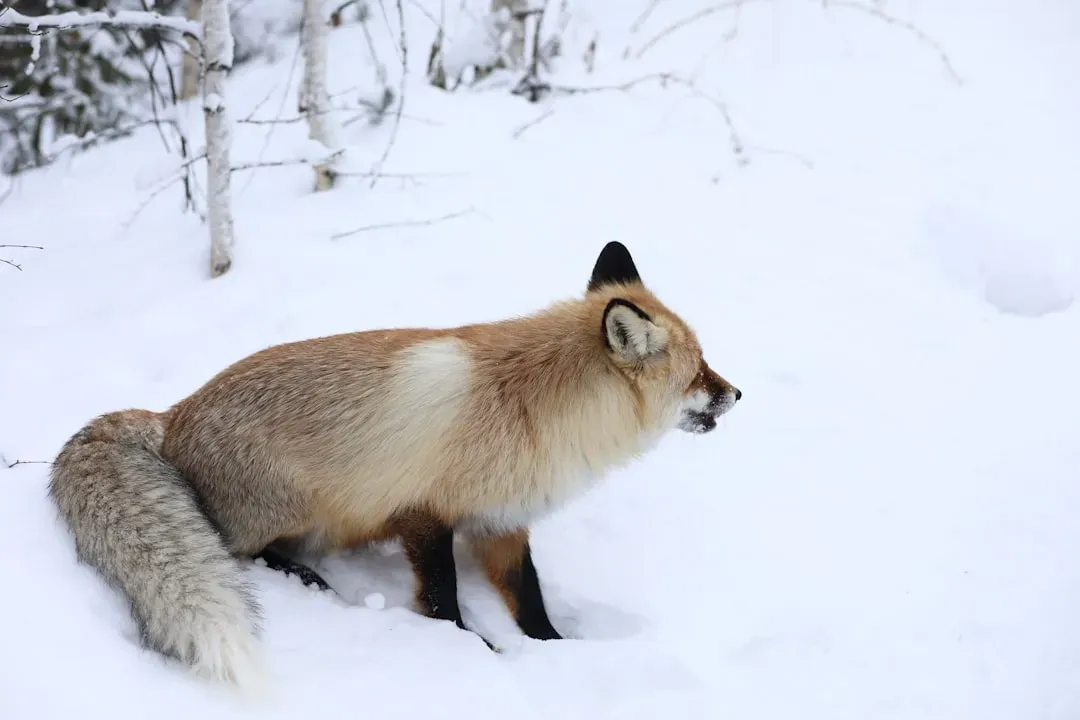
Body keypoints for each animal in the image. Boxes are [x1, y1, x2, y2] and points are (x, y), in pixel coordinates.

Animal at [47, 241, 741, 691]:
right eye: (698, 373)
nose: (737, 394)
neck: (532, 409)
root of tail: (171, 416)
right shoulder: (423, 511)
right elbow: (443, 597)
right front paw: (471, 650)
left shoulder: (502, 520)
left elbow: (531, 599)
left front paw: (555, 653)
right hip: (299, 508)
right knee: (242, 552)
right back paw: (306, 581)